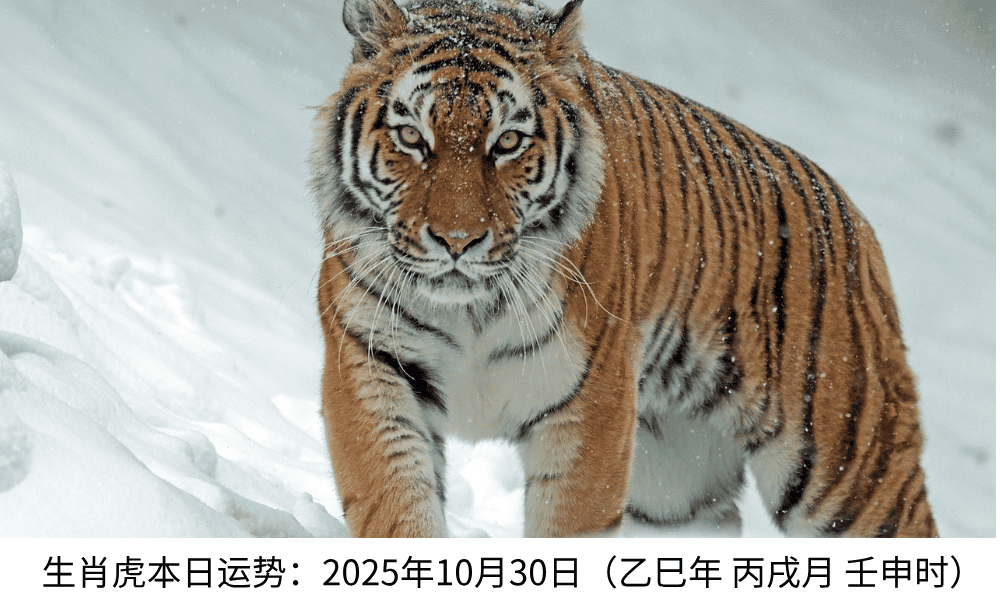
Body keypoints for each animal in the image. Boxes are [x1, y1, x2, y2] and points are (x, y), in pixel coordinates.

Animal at [309, 0, 938, 538]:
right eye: (411, 136)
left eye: (507, 142)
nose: (457, 241)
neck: (471, 311)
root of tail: (853, 217)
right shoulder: (371, 365)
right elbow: (397, 507)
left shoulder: (591, 405)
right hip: (675, 488)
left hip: (849, 469)